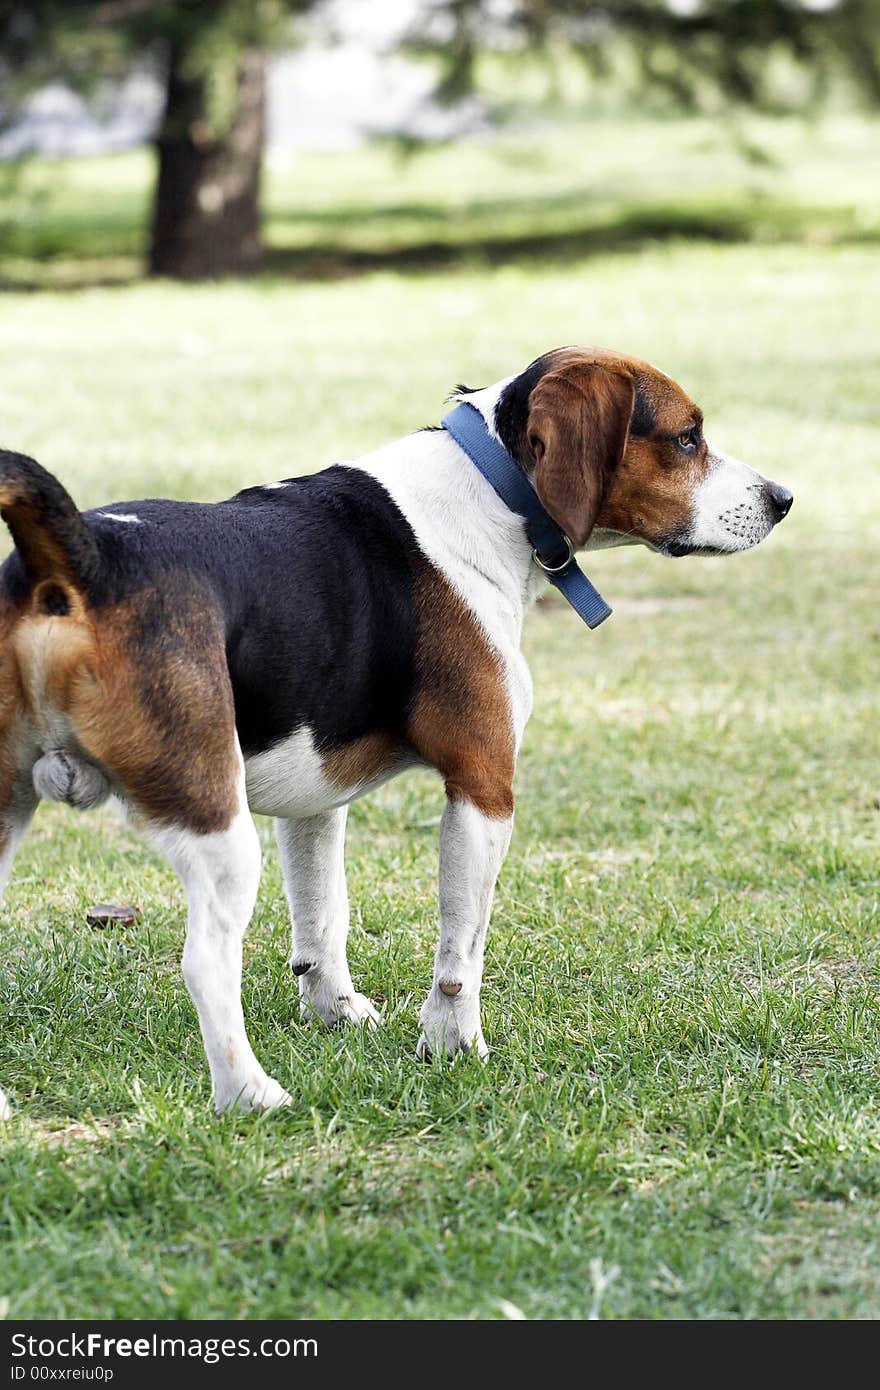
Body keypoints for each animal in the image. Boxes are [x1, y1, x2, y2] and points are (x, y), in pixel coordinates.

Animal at [0, 350, 789, 1117]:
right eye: (687, 437)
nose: (782, 500)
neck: (491, 492)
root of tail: (80, 557)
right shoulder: (483, 786)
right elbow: (461, 949)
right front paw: (452, 1043)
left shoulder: (314, 801)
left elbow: (324, 919)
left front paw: (335, 1011)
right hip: (216, 823)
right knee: (206, 963)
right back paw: (249, 1095)